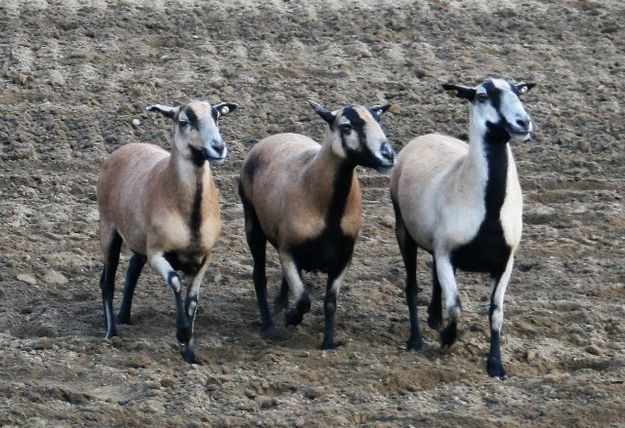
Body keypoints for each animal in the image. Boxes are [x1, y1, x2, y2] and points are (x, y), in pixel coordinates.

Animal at [96, 98, 238, 362]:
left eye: (217, 117)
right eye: (184, 120)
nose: (218, 147)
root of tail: (126, 148)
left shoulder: (205, 256)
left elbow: (192, 300)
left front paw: (189, 352)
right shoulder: (157, 253)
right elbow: (175, 282)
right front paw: (182, 333)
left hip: (137, 239)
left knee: (132, 268)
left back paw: (124, 316)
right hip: (108, 229)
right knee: (107, 281)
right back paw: (111, 332)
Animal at [239, 102, 394, 350]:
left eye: (377, 120)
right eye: (347, 126)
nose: (388, 155)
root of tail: (275, 137)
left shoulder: (343, 258)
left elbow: (330, 302)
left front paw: (328, 342)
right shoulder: (288, 252)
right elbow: (304, 300)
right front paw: (291, 318)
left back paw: (280, 304)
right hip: (252, 223)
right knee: (259, 276)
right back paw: (268, 325)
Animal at [388, 78, 532, 376]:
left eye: (518, 91)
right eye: (482, 96)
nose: (523, 123)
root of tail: (426, 136)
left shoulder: (505, 262)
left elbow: (496, 311)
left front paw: (496, 365)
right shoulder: (447, 253)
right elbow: (455, 305)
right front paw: (447, 338)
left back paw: (433, 317)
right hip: (403, 229)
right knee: (411, 285)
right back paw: (416, 339)